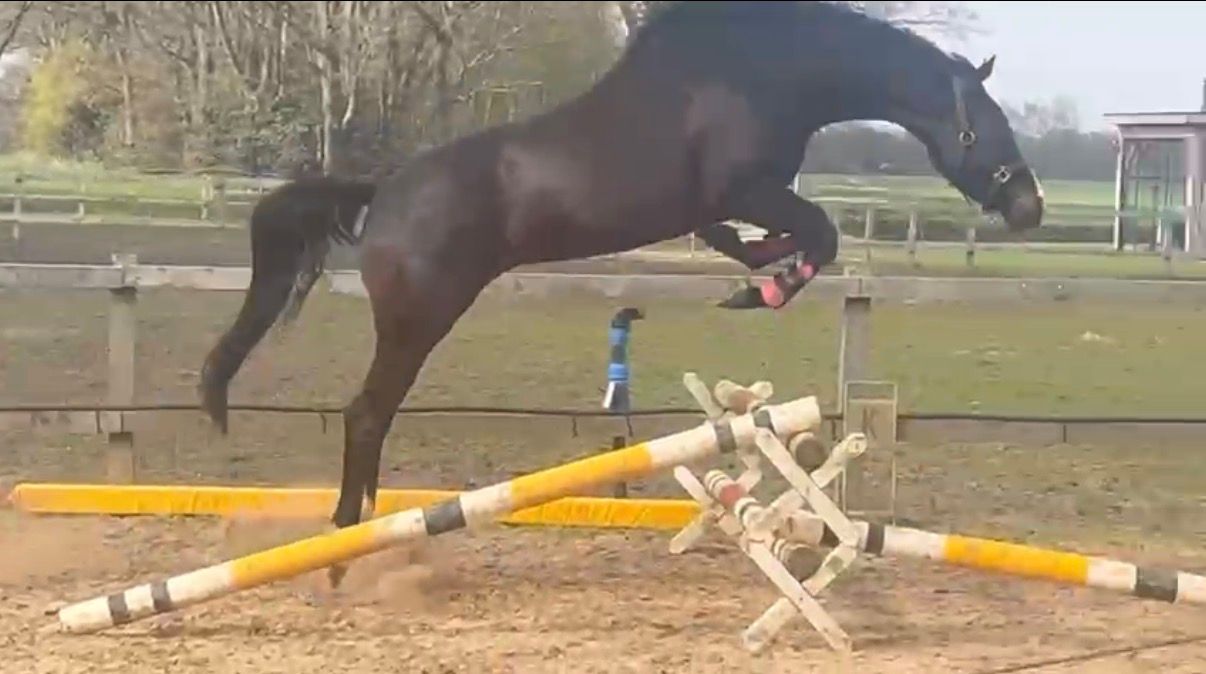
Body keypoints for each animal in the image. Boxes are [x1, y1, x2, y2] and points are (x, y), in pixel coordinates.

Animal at [199, 0, 1044, 587]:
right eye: (985, 127)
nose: (1028, 206)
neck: (765, 73)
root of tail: (385, 192)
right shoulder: (748, 187)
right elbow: (821, 235)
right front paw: (762, 291)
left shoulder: (728, 203)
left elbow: (761, 238)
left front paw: (758, 274)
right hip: (418, 319)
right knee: (365, 416)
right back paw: (345, 547)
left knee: (369, 420)